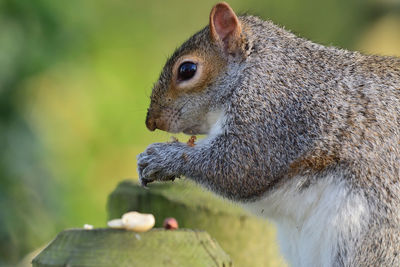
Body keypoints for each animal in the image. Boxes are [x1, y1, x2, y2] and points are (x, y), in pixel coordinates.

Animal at [137, 2, 400, 267]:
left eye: (187, 69)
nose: (151, 121)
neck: (256, 68)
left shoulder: (273, 113)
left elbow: (239, 166)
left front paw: (160, 157)